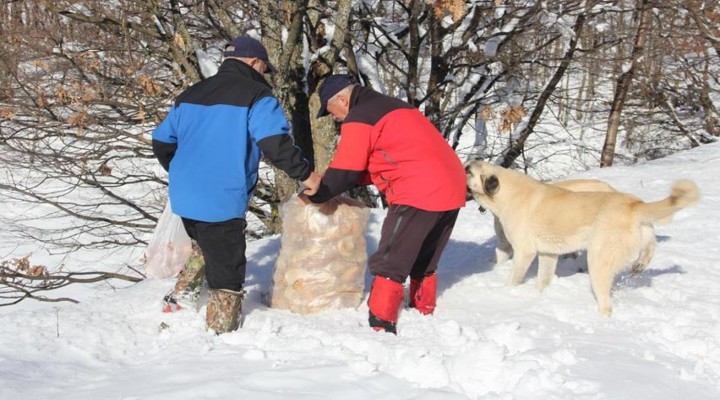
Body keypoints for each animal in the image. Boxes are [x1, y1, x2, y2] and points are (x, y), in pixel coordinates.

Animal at [464, 161, 700, 318]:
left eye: (469, 171)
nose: (463, 164)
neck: (506, 193)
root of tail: (635, 205)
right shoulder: (547, 254)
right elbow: (542, 280)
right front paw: (537, 296)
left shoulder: (524, 252)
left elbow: (513, 278)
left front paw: (505, 293)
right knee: (648, 252)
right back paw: (639, 266)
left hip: (598, 261)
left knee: (606, 304)